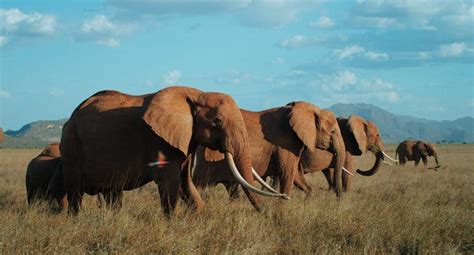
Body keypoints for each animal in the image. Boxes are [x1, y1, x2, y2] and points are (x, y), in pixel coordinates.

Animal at [59, 85, 286, 215]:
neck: (197, 95)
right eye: (217, 121)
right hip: (72, 146)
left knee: (112, 192)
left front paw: (197, 215)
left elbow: (186, 182)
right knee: (75, 193)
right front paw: (174, 221)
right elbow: (170, 182)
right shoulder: (159, 141)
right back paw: (76, 219)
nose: (268, 215)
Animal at [191, 101, 346, 199]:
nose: (339, 199)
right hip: (207, 159)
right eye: (332, 131)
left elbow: (297, 175)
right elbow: (287, 173)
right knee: (198, 184)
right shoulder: (285, 142)